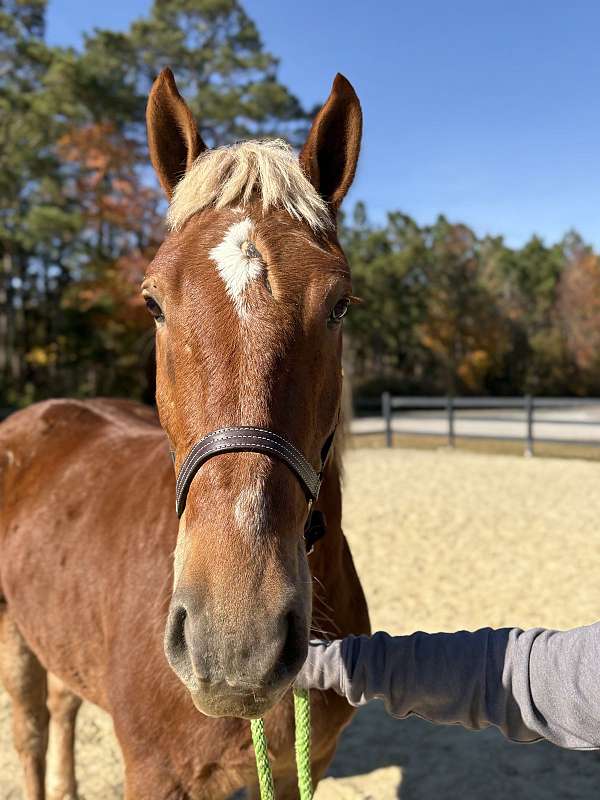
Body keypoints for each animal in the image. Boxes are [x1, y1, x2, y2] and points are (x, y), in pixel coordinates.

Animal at [0, 69, 370, 799]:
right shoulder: (155, 774)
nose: (236, 642)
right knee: (30, 731)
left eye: (339, 304)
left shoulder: (305, 769)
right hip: (12, 634)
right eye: (152, 302)